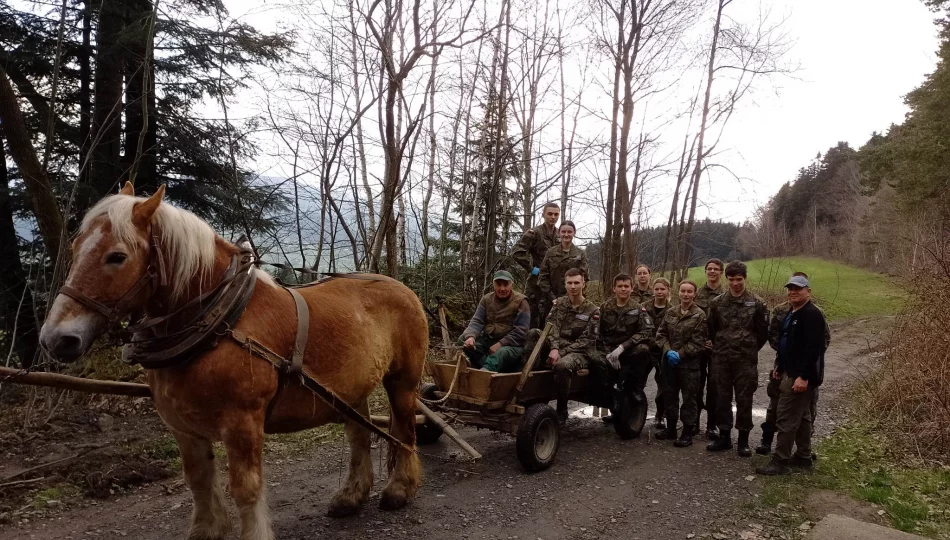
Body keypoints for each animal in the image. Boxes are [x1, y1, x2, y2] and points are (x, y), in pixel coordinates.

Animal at [38, 184, 428, 536]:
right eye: (74, 247)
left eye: (116, 256)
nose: (56, 338)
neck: (219, 322)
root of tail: (400, 286)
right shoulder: (182, 427)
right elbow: (198, 481)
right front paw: (206, 530)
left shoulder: (242, 423)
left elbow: (245, 488)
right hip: (349, 391)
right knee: (360, 436)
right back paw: (350, 496)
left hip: (403, 381)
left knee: (404, 430)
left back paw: (399, 489)